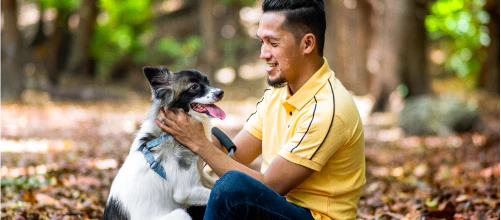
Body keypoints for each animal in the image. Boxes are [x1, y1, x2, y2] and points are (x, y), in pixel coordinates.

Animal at [103, 66, 225, 220]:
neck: (167, 134)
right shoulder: (186, 191)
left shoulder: (199, 173)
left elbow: (216, 183)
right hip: (181, 214)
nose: (221, 92)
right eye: (194, 87)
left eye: (207, 81)